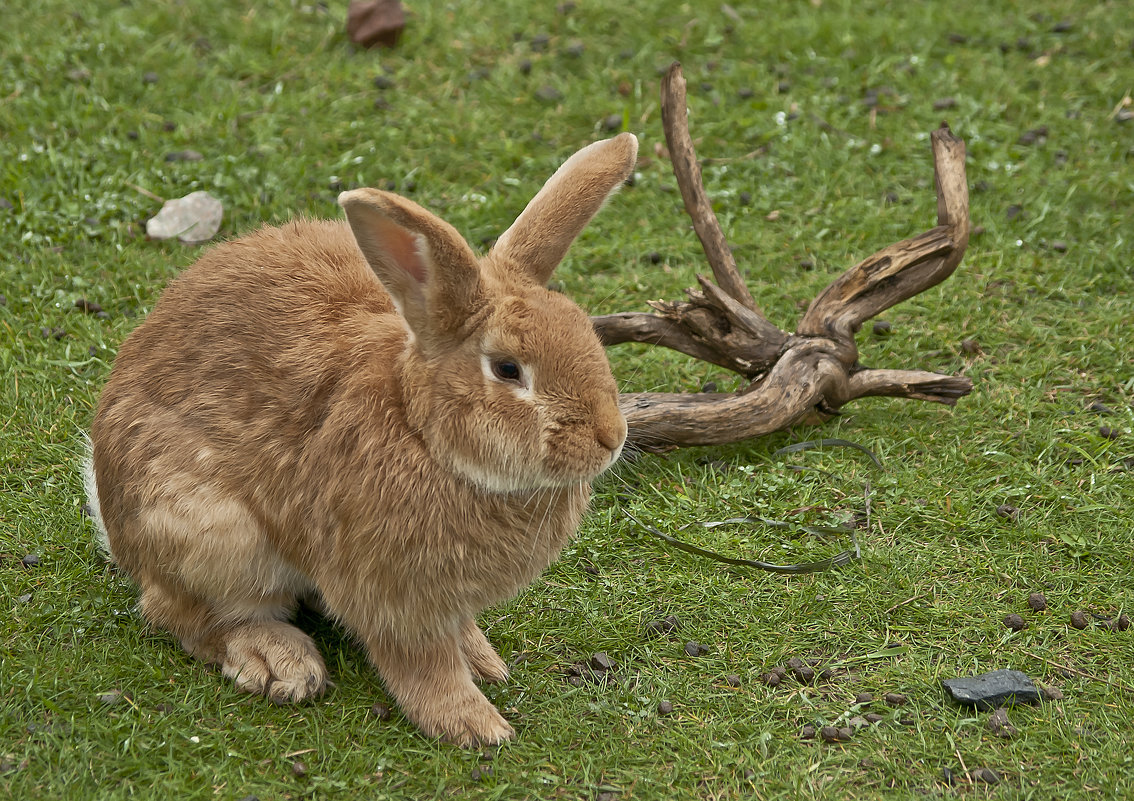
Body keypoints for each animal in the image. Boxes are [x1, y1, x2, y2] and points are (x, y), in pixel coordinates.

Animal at [86, 131, 639, 744]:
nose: (611, 437)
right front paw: (474, 726)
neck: (424, 436)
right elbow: (422, 666)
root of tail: (109, 507)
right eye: (508, 370)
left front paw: (483, 662)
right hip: (214, 535)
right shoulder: (393, 599)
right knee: (183, 614)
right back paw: (281, 661)